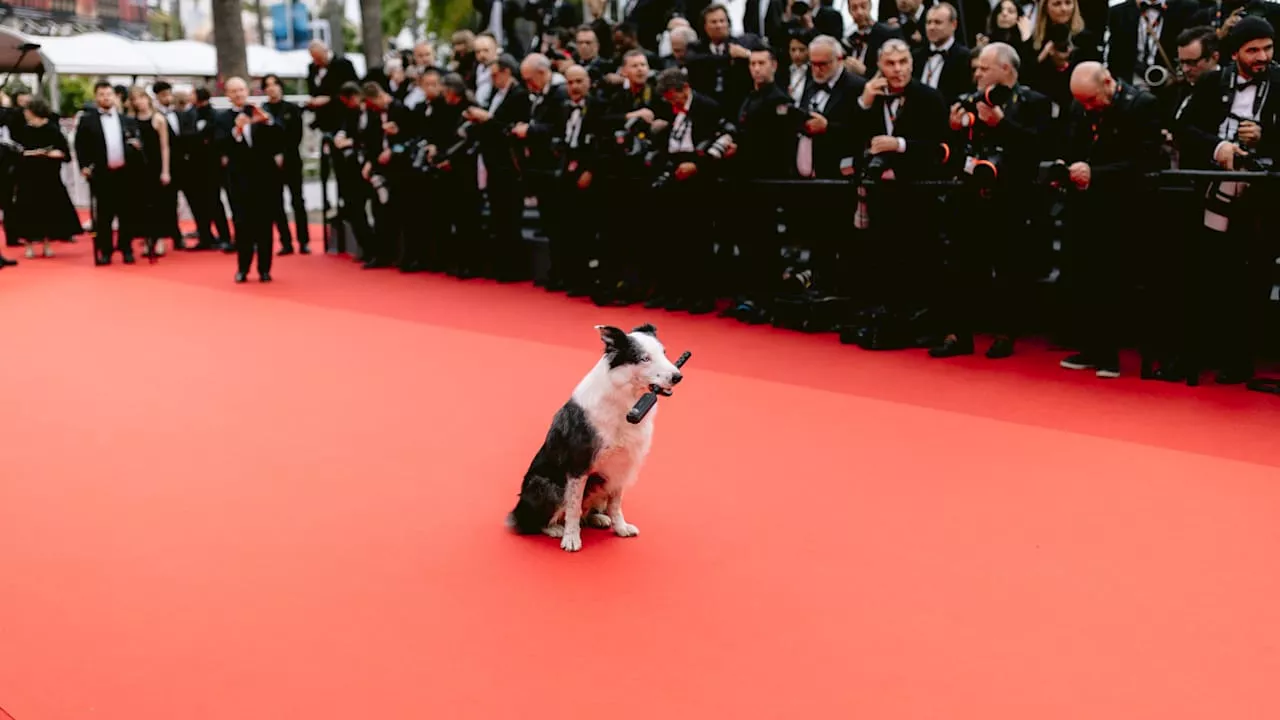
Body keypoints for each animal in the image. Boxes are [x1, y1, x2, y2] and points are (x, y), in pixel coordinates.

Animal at [509, 322, 691, 550]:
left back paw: (598, 518)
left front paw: (620, 527)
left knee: (588, 512)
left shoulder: (621, 465)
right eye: (644, 358)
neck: (624, 399)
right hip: (543, 484)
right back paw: (554, 528)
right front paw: (571, 538)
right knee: (533, 522)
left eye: (664, 353)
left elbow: (615, 504)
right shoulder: (579, 466)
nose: (677, 377)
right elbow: (573, 507)